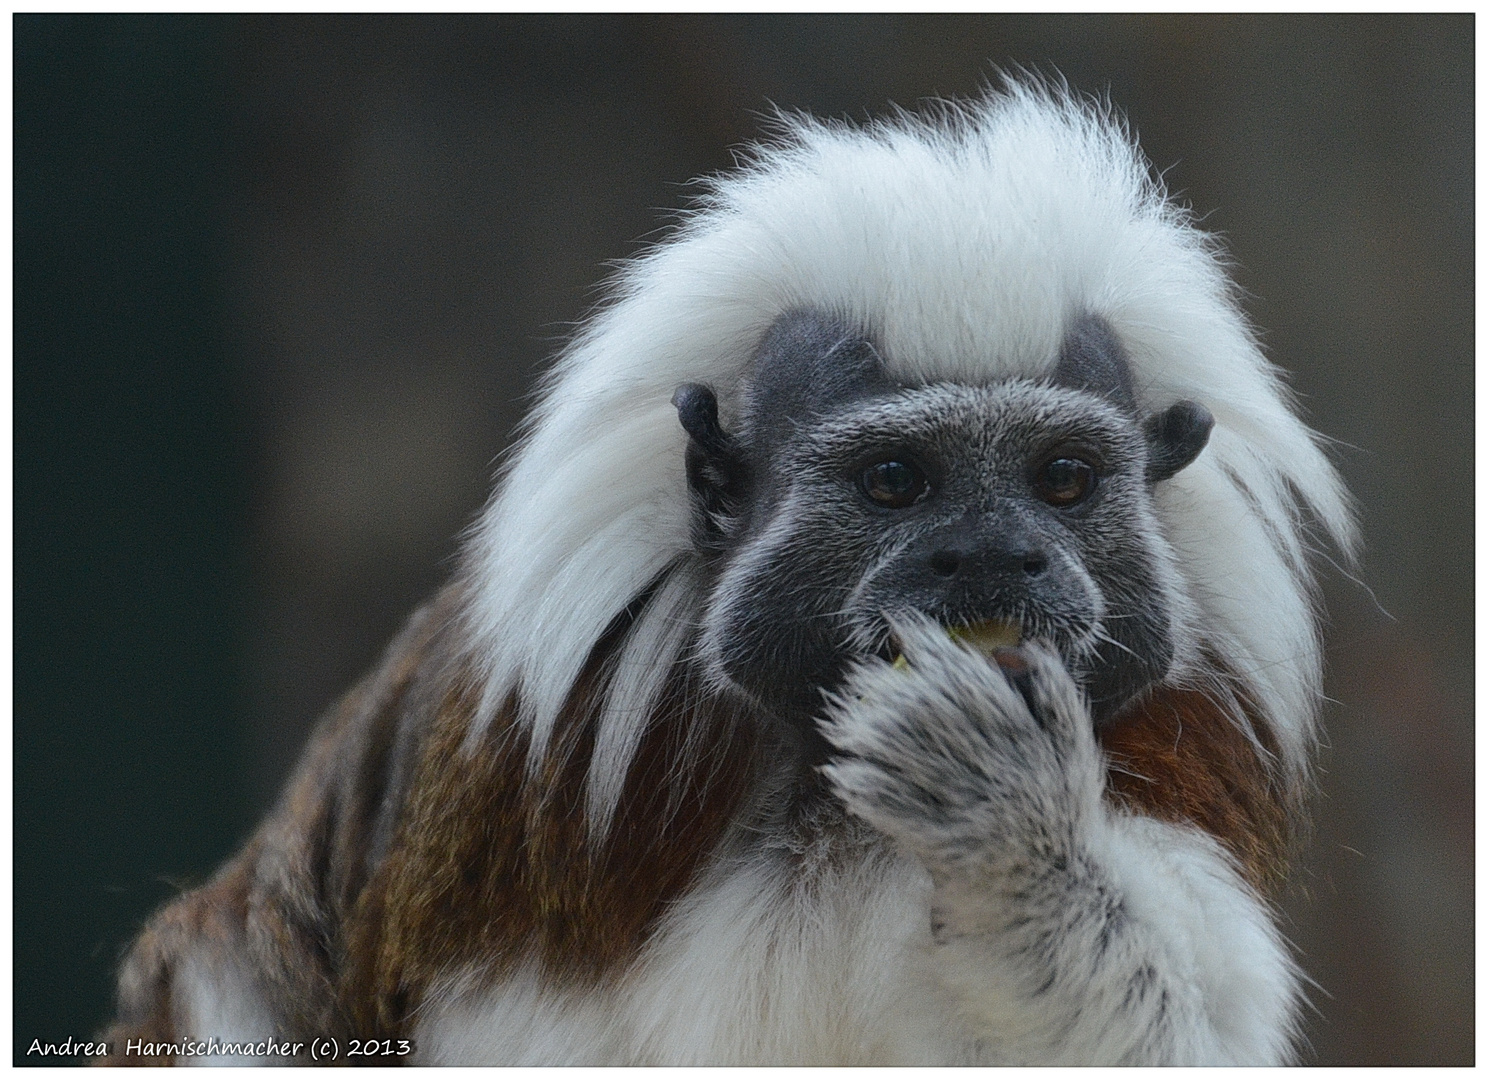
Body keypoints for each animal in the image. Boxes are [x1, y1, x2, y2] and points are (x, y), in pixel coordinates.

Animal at [104, 82, 1357, 1065]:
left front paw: (1014, 831)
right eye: (895, 482)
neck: (832, 799)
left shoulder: (1177, 742)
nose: (994, 557)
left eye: (1062, 479)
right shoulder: (531, 795)